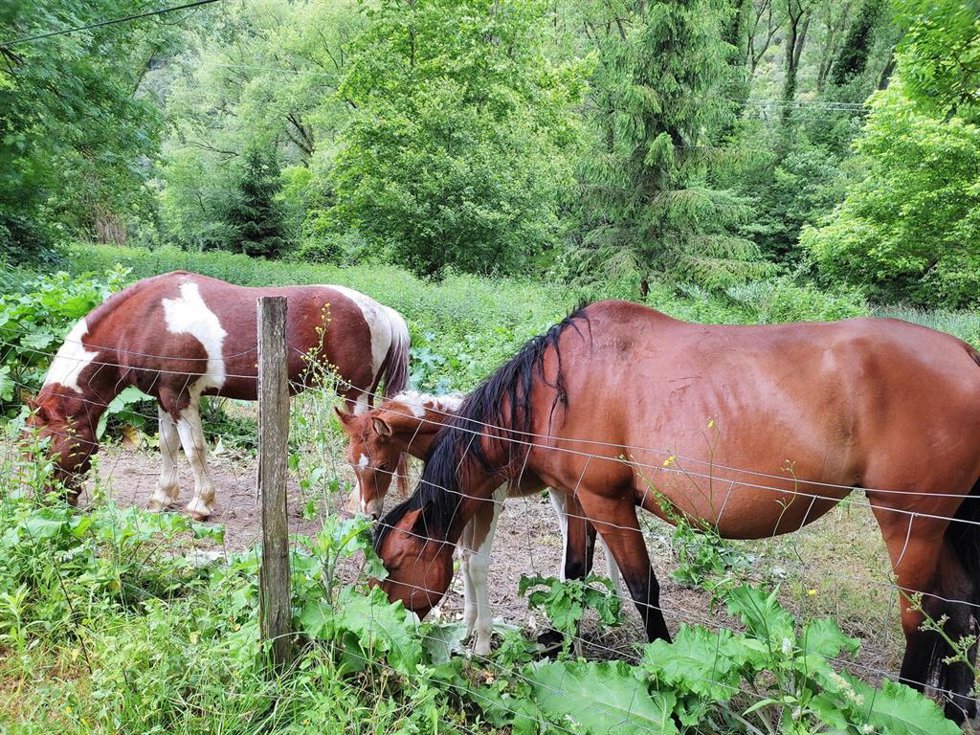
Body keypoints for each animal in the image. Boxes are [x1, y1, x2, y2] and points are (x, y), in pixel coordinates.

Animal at [27, 271, 410, 520]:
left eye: (46, 448)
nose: (50, 501)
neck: (146, 320)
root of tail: (381, 312)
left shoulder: (181, 396)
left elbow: (194, 449)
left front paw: (201, 504)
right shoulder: (163, 397)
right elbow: (168, 446)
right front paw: (162, 496)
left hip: (354, 393)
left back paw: (359, 505)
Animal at [336, 390, 621, 655]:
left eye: (383, 465)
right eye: (351, 462)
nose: (368, 512)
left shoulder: (490, 499)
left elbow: (477, 564)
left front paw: (482, 642)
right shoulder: (462, 501)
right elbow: (464, 557)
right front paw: (466, 629)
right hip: (559, 490)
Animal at [374, 300, 980, 722]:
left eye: (396, 562)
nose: (390, 634)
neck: (559, 385)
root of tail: (964, 353)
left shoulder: (607, 501)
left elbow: (643, 589)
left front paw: (669, 669)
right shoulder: (578, 499)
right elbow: (575, 576)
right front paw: (562, 647)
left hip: (910, 524)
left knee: (924, 619)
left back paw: (904, 706)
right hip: (947, 528)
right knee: (960, 610)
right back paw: (952, 713)